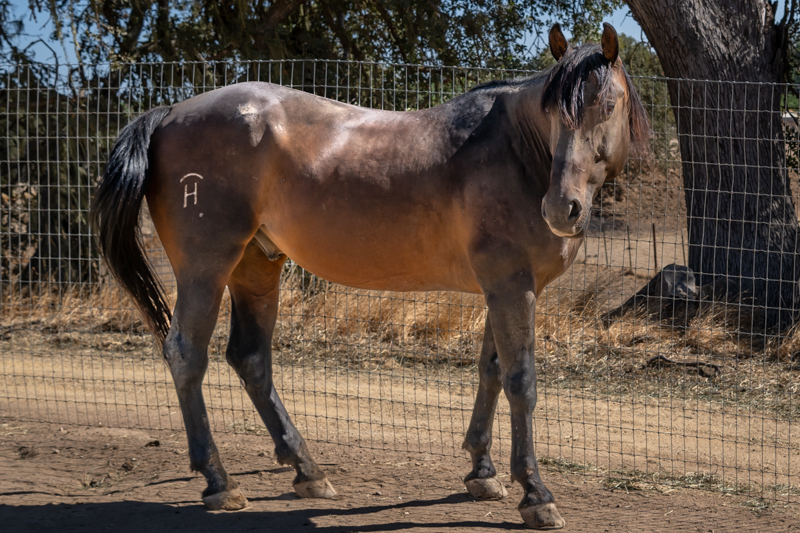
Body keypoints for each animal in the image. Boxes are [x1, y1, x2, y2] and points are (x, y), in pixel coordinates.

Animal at [91, 23, 649, 529]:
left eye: (608, 105)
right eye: (555, 112)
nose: (561, 208)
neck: (515, 151)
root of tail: (170, 113)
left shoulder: (502, 288)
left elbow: (490, 372)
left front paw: (482, 473)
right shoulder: (513, 286)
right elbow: (521, 382)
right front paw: (535, 493)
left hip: (256, 266)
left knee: (250, 359)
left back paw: (308, 471)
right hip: (207, 268)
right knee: (186, 354)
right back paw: (219, 482)